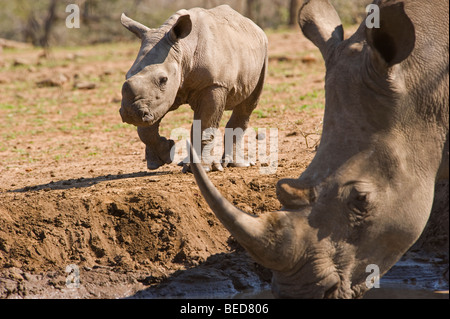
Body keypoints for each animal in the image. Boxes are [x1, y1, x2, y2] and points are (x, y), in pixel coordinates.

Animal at [119, 5, 268, 172]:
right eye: (126, 76)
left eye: (163, 80)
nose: (131, 114)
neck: (183, 50)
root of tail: (253, 25)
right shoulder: (161, 96)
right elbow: (146, 129)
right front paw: (163, 156)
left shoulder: (214, 84)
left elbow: (205, 125)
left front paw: (204, 168)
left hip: (264, 52)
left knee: (248, 105)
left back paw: (234, 164)